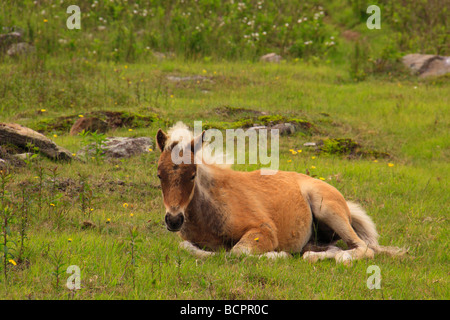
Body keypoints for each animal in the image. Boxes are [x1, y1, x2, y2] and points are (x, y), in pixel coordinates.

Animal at [156, 124, 404, 264]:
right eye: (159, 175)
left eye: (192, 175)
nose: (174, 220)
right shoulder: (189, 240)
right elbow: (188, 248)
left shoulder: (264, 230)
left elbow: (238, 252)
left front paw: (278, 255)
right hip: (316, 238)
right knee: (328, 249)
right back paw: (314, 256)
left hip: (328, 209)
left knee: (363, 248)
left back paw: (340, 259)